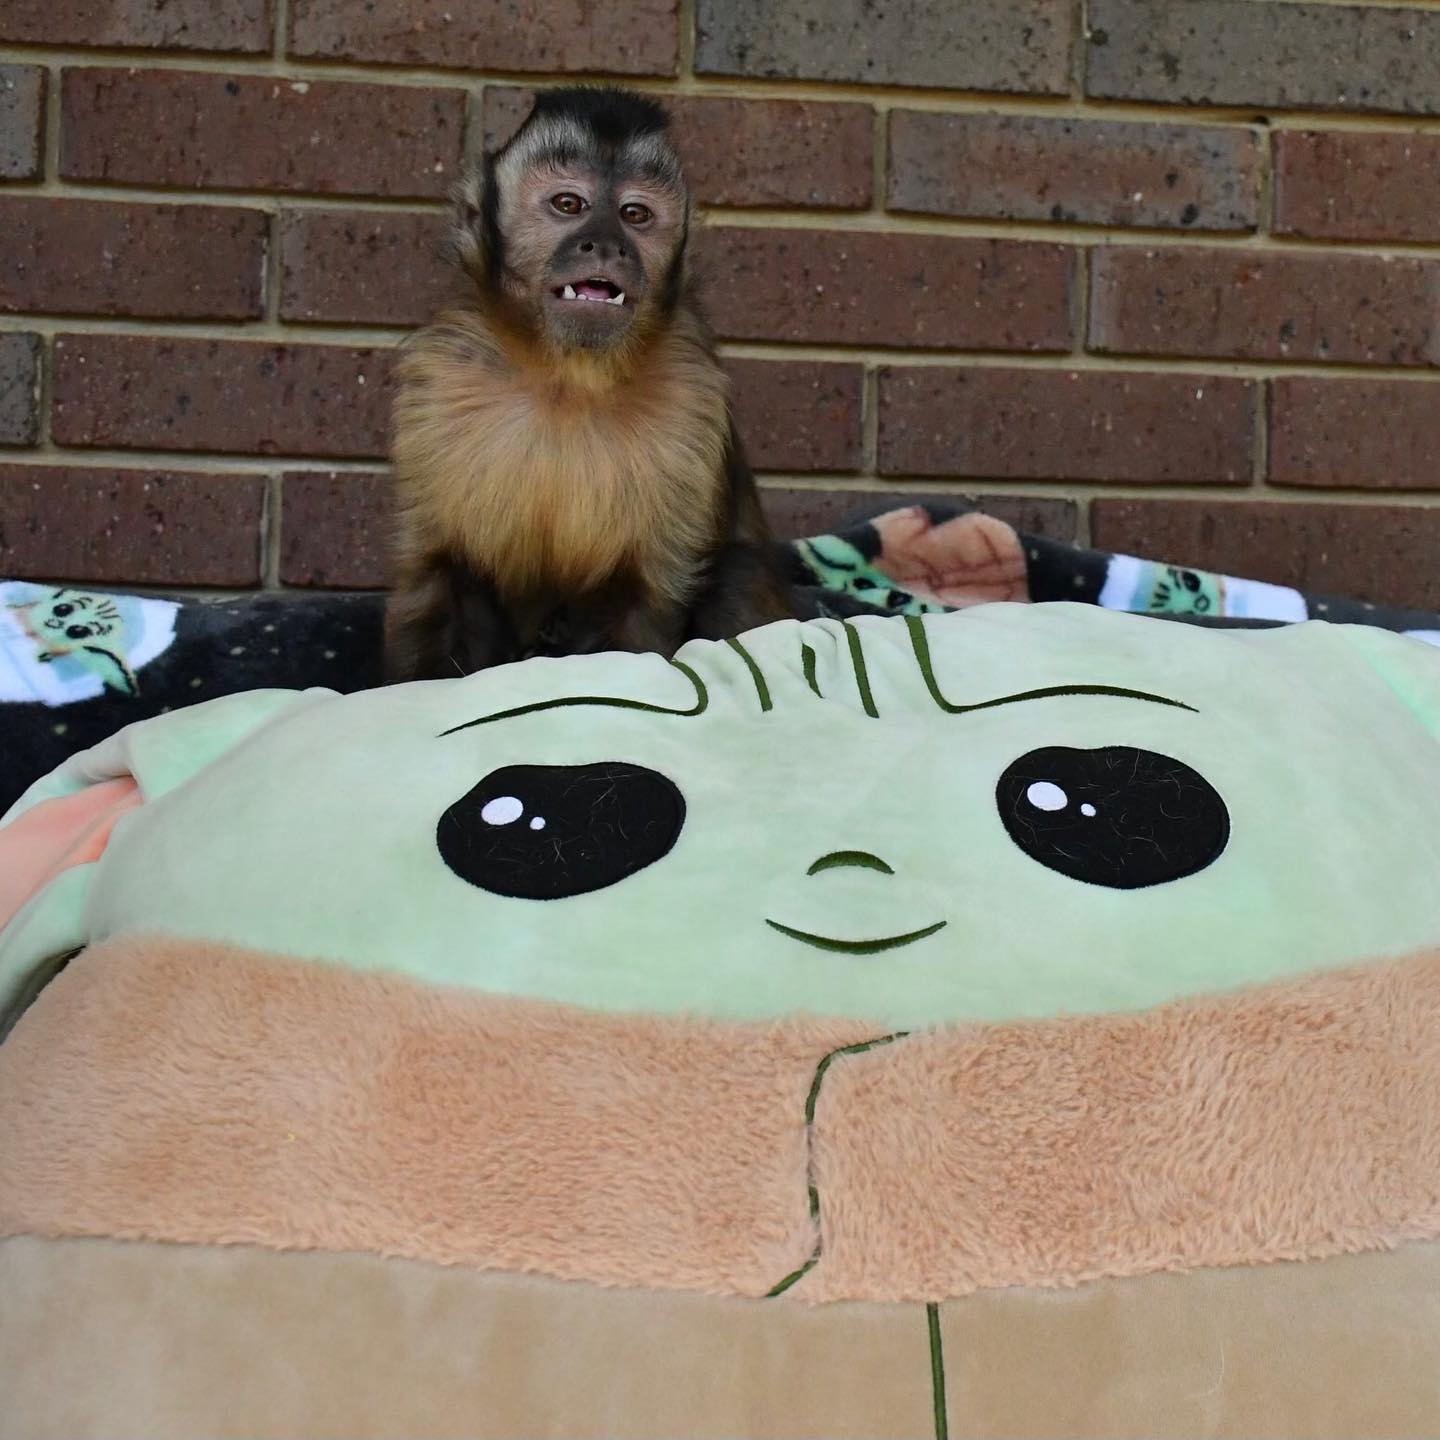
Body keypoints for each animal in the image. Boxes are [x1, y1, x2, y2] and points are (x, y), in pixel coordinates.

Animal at [383, 85, 795, 683]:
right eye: (568, 205)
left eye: (634, 215)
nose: (605, 244)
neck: (569, 378)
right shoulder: (444, 380)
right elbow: (442, 573)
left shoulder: (691, 402)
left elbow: (640, 605)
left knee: (737, 576)